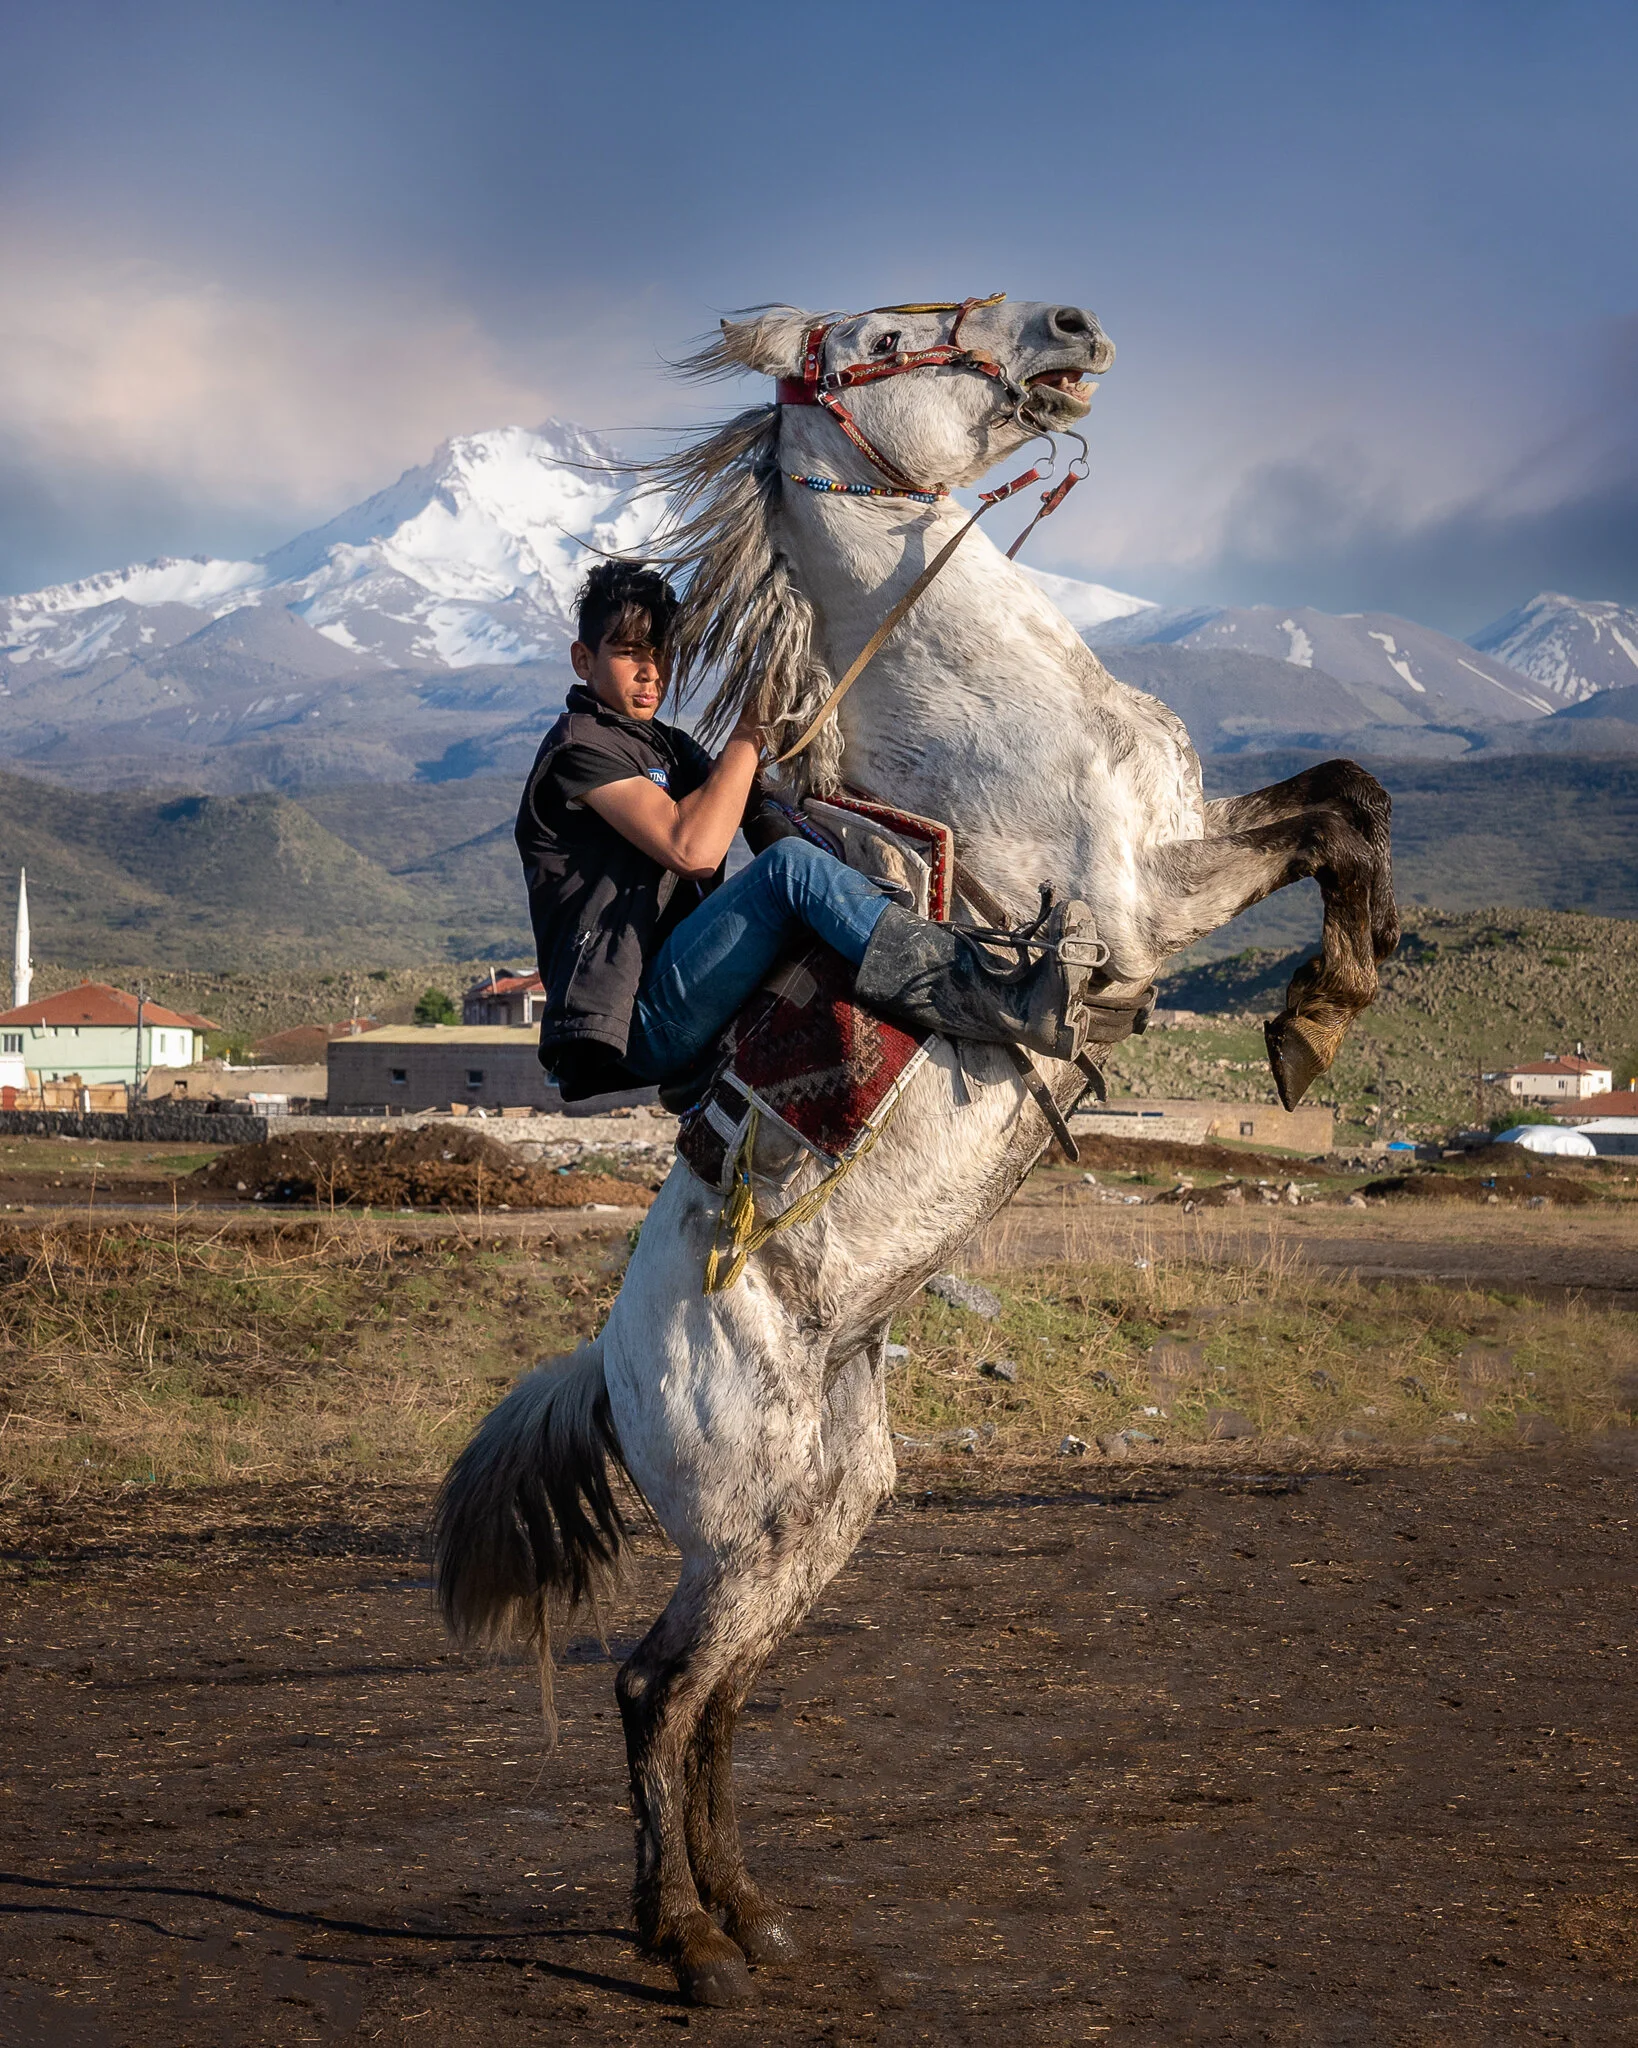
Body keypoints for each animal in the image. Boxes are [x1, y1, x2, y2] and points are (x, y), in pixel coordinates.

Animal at [433, 293, 1398, 2007]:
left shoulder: (1196, 841)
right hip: (744, 1515)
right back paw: (685, 1942)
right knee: (650, 1689)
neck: (997, 721)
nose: (1072, 324)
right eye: (888, 330)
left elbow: (1345, 797)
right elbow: (1329, 821)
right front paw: (1308, 1020)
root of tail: (607, 1366)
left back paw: (751, 1913)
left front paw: (1329, 1002)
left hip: (818, 1514)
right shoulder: (1143, 901)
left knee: (718, 1697)